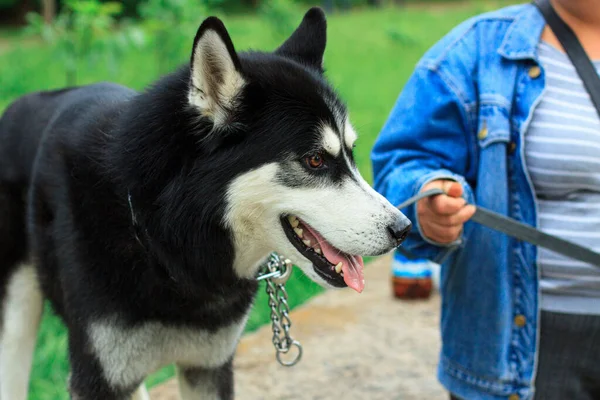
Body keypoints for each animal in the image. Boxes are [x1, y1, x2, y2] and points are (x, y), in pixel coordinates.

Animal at [0, 7, 410, 400]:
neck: (162, 237)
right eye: (315, 160)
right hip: (16, 320)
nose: (403, 229)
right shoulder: (98, 377)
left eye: (351, 153)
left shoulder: (209, 366)